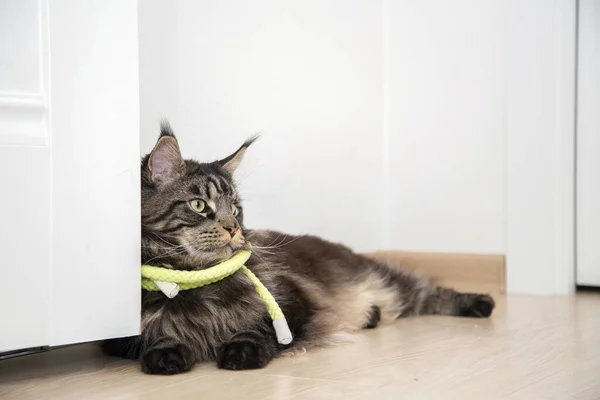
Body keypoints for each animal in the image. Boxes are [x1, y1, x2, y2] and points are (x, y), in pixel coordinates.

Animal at [103, 122, 494, 376]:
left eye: (236, 208)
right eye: (200, 205)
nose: (234, 228)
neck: (197, 286)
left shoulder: (293, 302)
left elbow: (265, 331)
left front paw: (240, 351)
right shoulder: (122, 336)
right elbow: (156, 336)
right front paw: (166, 354)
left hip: (392, 283)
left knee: (431, 292)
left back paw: (480, 304)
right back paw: (371, 316)